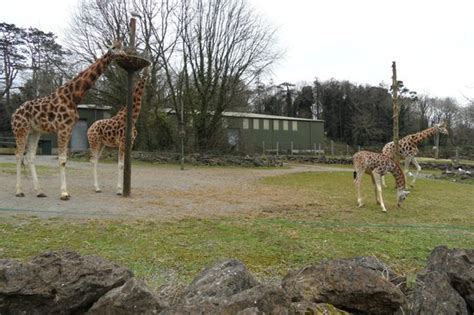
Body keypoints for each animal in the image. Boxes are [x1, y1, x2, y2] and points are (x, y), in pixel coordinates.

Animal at [11, 42, 125, 201]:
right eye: (114, 47)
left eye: (123, 46)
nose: (125, 55)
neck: (73, 96)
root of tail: (14, 114)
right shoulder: (63, 128)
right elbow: (62, 160)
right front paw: (64, 193)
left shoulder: (69, 128)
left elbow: (64, 159)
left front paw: (63, 192)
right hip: (21, 130)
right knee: (18, 155)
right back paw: (19, 191)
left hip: (35, 131)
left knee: (30, 156)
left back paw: (39, 191)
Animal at [87, 67, 149, 195]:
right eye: (144, 70)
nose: (145, 76)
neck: (133, 118)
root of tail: (89, 128)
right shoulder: (122, 143)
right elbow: (120, 165)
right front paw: (120, 190)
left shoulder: (130, 144)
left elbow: (126, 164)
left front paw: (123, 189)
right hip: (94, 142)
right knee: (93, 160)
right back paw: (97, 188)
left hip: (101, 144)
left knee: (95, 160)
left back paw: (97, 187)